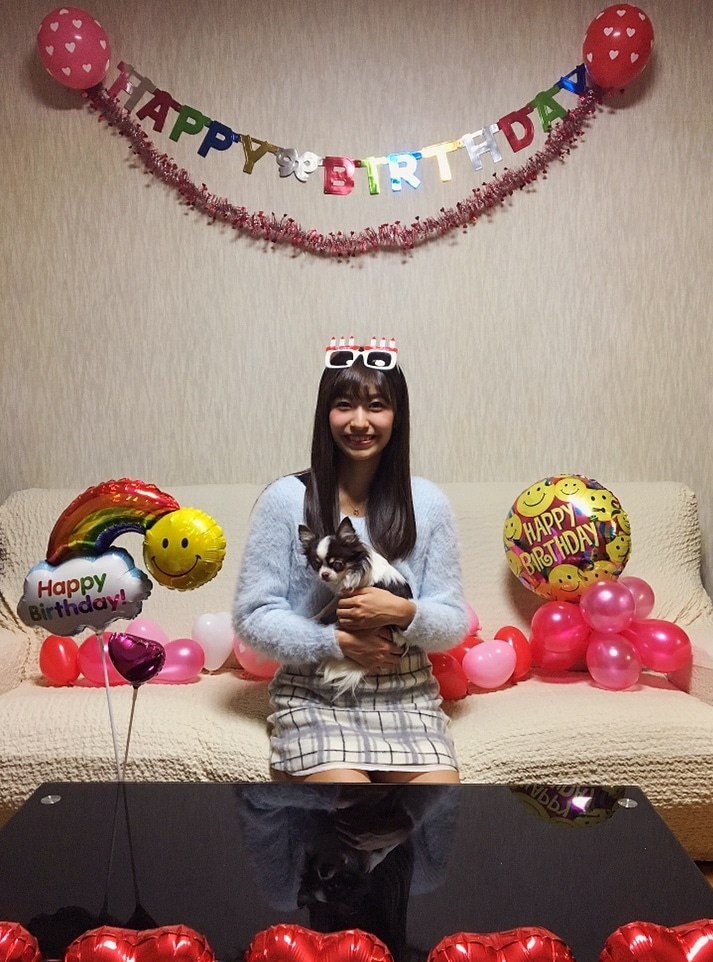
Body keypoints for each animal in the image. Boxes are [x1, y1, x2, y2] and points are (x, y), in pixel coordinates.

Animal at [298, 517, 412, 694]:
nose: (324, 574)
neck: (352, 570)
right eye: (316, 565)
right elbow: (327, 607)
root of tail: (402, 641)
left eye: (337, 564)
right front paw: (315, 618)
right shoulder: (341, 597)